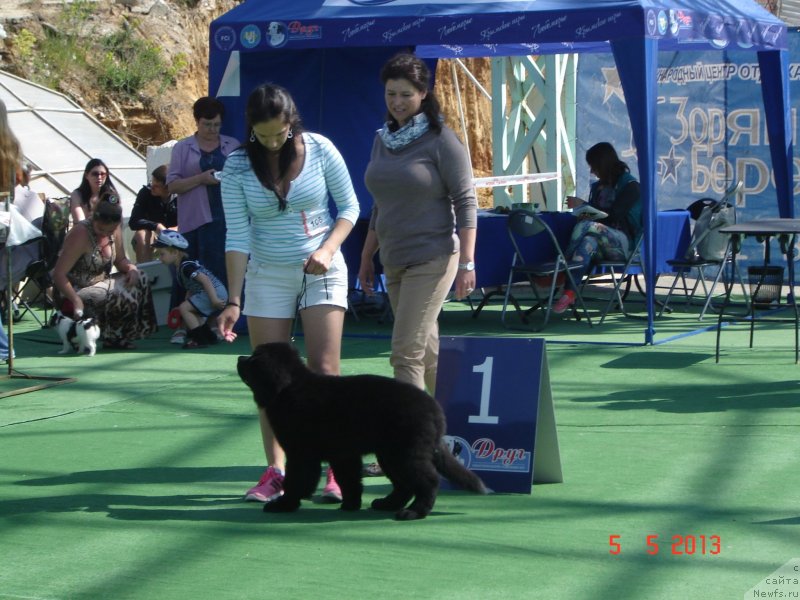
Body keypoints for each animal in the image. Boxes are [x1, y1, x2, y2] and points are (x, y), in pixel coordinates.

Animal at [238, 342, 488, 520]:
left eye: (254, 358)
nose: (240, 358)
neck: (288, 389)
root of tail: (435, 410)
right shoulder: (343, 454)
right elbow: (349, 480)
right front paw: (351, 505)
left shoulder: (301, 454)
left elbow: (297, 481)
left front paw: (284, 504)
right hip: (389, 455)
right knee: (404, 485)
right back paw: (386, 504)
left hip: (404, 453)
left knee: (428, 481)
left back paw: (413, 512)